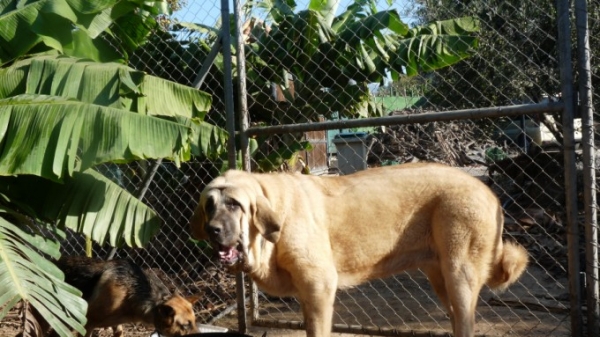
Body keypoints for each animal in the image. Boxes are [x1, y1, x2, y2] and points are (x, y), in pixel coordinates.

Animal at [190, 161, 528, 334]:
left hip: (460, 274)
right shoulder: (307, 294)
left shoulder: (319, 287)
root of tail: (489, 192)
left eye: (234, 204)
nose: (212, 230)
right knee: (457, 318)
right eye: (209, 205)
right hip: (441, 278)